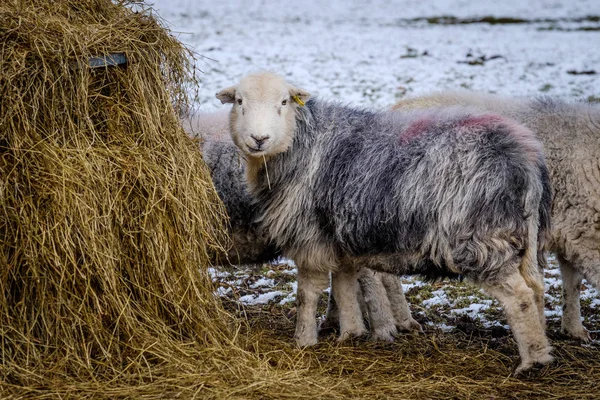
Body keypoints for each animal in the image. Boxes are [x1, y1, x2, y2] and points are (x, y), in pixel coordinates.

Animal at [216, 71, 552, 372]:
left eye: (284, 102)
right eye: (240, 101)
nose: (259, 139)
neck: (302, 143)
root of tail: (524, 156)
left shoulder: (309, 236)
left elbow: (307, 293)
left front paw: (304, 340)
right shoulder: (338, 238)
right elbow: (344, 286)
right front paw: (351, 333)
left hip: (480, 238)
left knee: (520, 296)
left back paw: (532, 362)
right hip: (526, 235)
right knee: (536, 289)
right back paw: (545, 349)